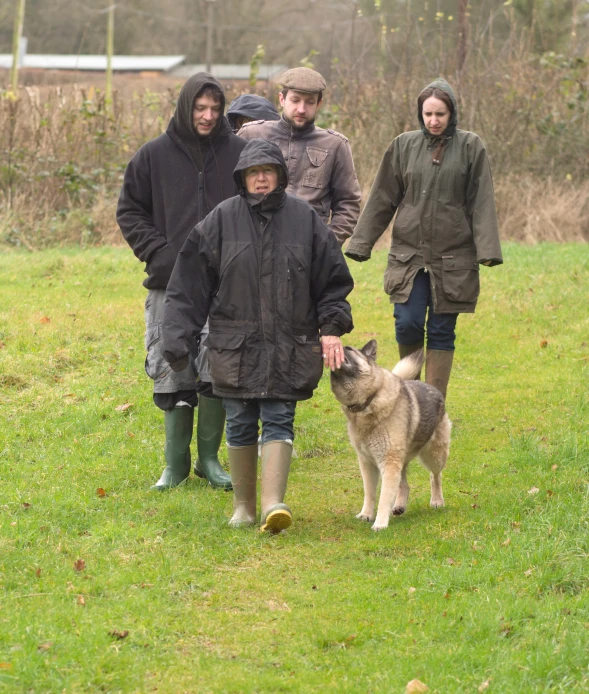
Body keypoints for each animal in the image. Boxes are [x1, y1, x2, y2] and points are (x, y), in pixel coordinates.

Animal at [330, 342, 450, 532]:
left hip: (434, 455)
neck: (370, 400)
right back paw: (400, 505)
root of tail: (434, 389)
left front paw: (380, 523)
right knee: (405, 485)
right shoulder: (368, 463)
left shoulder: (389, 462)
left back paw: (437, 500)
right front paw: (366, 514)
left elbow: (384, 496)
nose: (339, 345)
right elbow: (370, 492)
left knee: (435, 476)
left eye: (349, 350)